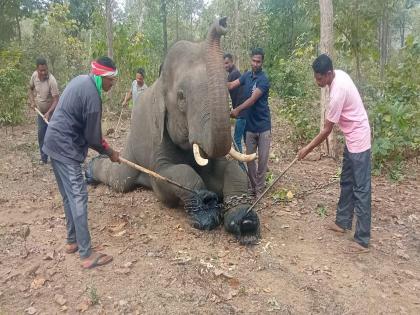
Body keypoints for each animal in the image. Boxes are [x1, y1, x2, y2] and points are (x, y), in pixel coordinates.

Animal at [86, 17, 260, 246]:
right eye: (181, 97)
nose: (222, 22)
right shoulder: (158, 136)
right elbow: (170, 174)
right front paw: (206, 212)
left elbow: (230, 168)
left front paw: (244, 221)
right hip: (132, 151)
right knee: (120, 180)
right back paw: (90, 170)